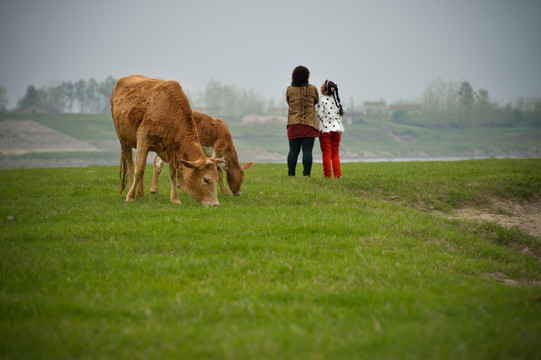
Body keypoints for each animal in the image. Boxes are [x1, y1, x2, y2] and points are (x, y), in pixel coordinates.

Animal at [109, 74, 224, 207]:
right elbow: (139, 169)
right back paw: (131, 192)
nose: (215, 204)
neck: (169, 111)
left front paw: (175, 199)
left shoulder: (172, 150)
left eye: (216, 178)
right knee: (131, 164)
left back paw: (141, 194)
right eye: (206, 179)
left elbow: (172, 175)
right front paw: (130, 197)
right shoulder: (143, 138)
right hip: (123, 139)